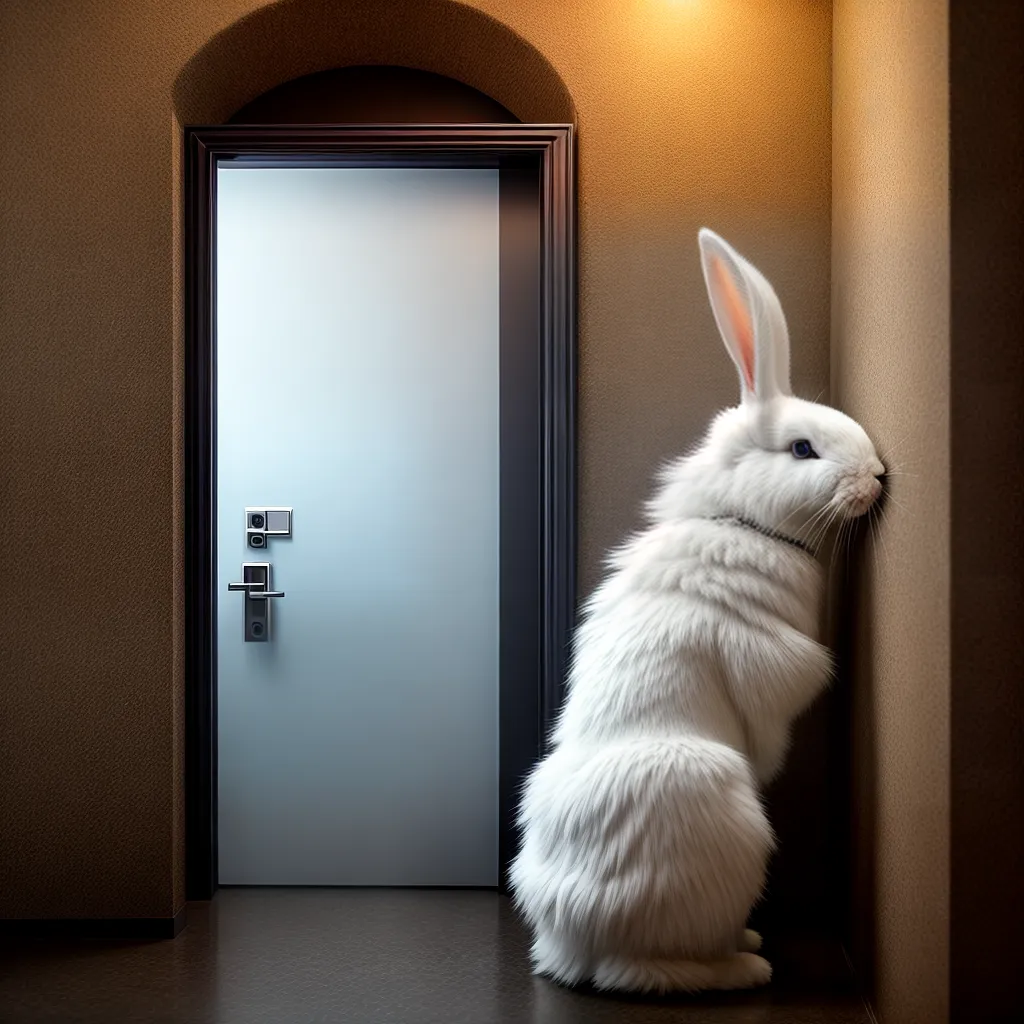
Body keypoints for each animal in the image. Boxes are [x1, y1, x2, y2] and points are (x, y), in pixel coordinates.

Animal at [509, 228, 885, 995]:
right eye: (803, 449)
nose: (877, 478)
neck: (744, 520)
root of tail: (574, 941)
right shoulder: (775, 670)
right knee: (643, 971)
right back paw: (747, 965)